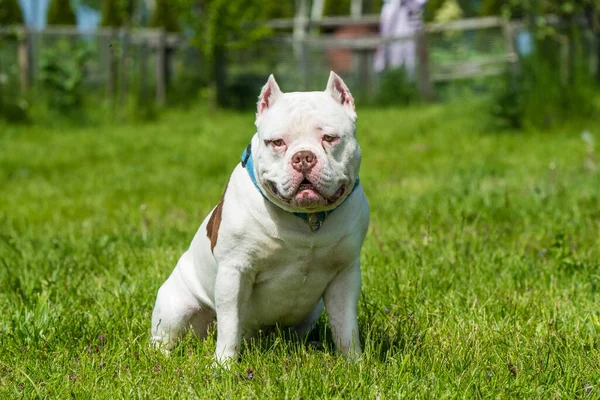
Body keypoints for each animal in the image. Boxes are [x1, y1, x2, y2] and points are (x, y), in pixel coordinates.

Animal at [152, 72, 368, 366]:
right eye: (277, 142)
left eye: (330, 138)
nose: (303, 157)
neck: (306, 220)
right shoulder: (234, 273)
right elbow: (230, 325)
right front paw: (224, 365)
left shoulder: (344, 275)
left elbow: (346, 327)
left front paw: (354, 363)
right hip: (176, 307)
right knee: (165, 337)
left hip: (312, 310)